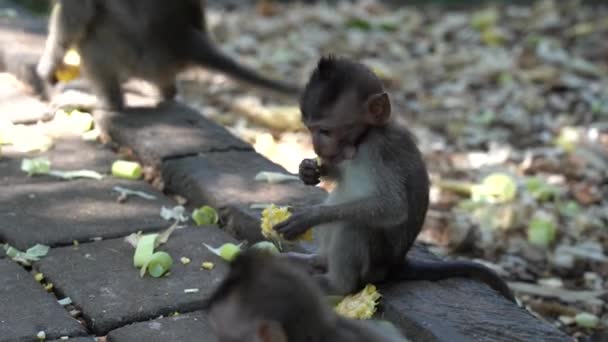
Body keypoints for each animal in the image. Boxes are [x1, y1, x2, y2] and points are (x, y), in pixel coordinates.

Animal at [274, 56, 516, 302]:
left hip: (375, 263)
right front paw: (308, 170)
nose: (316, 146)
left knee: (353, 223)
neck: (362, 140)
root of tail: (395, 265)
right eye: (309, 129)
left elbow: (393, 208)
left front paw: (313, 215)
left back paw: (337, 285)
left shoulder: (380, 149)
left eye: (325, 131)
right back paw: (316, 261)